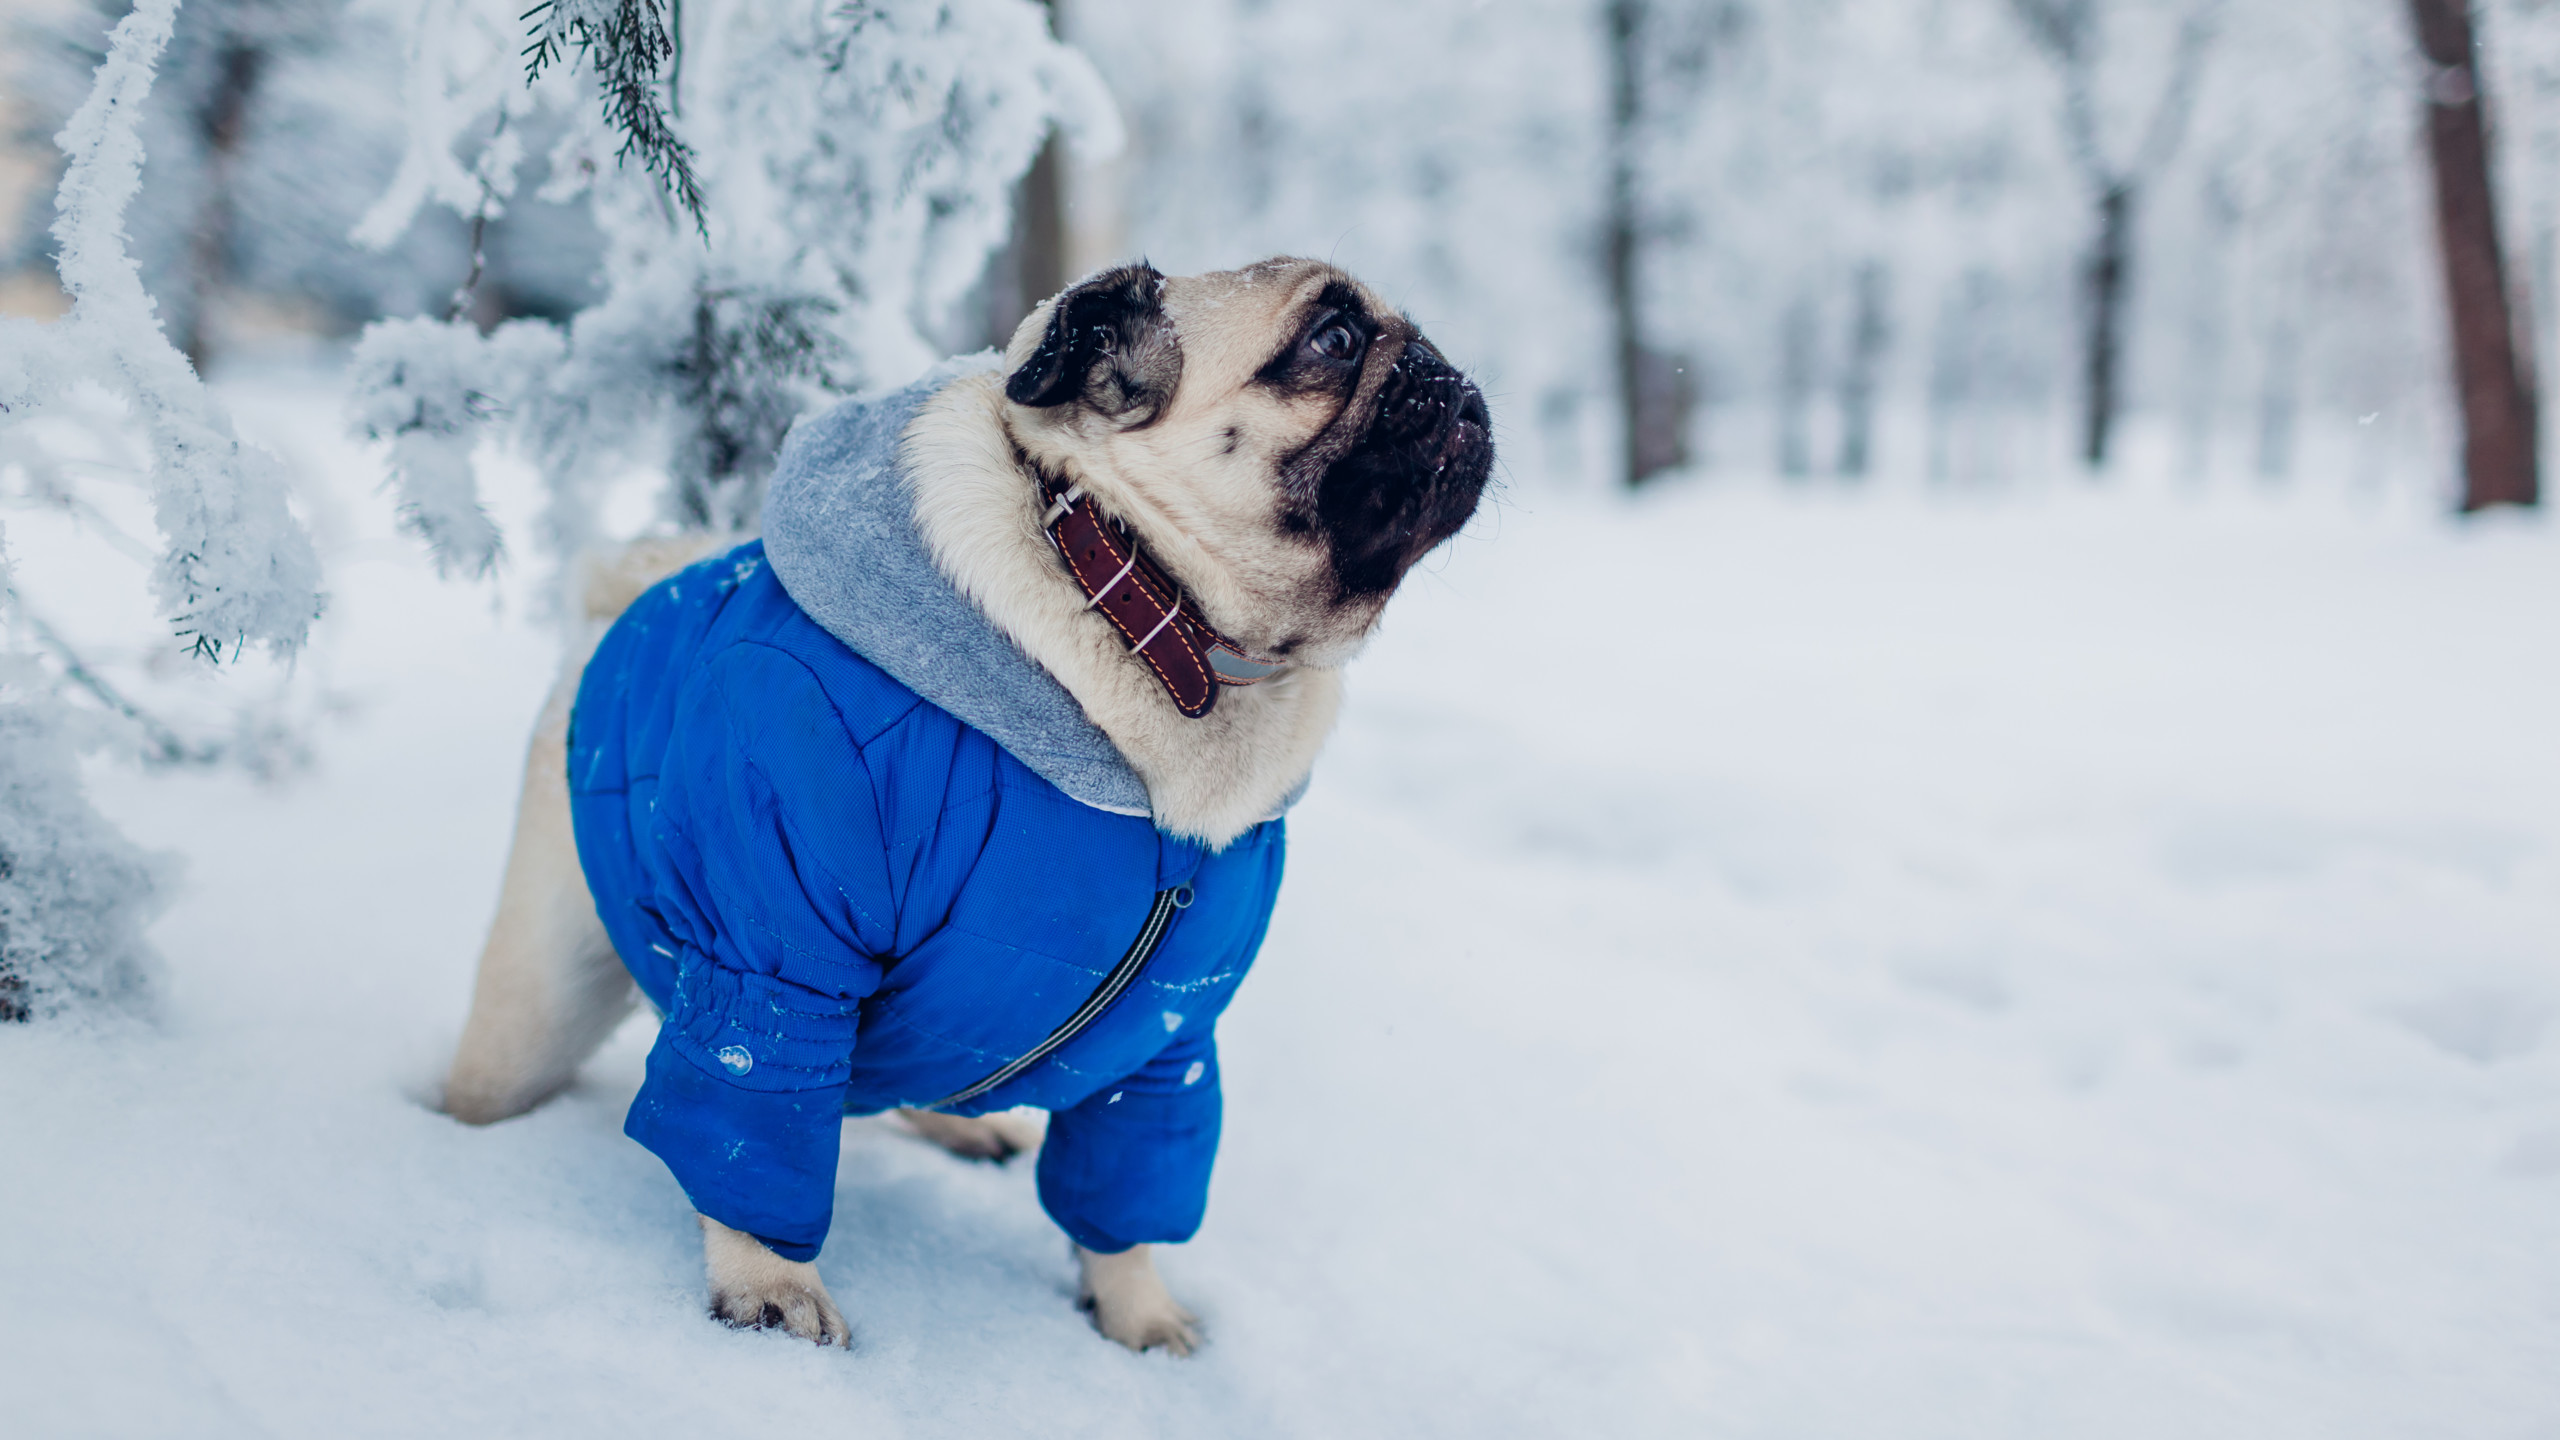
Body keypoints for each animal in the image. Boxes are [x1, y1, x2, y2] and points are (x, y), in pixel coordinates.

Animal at [435, 254, 1484, 1342]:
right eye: (1332, 341)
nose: (1446, 374)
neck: (1145, 611)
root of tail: (623, 596)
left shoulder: (1164, 1039)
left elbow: (1126, 1195)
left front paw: (1137, 1319)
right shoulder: (778, 953)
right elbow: (755, 1109)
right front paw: (769, 1287)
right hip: (537, 1006)